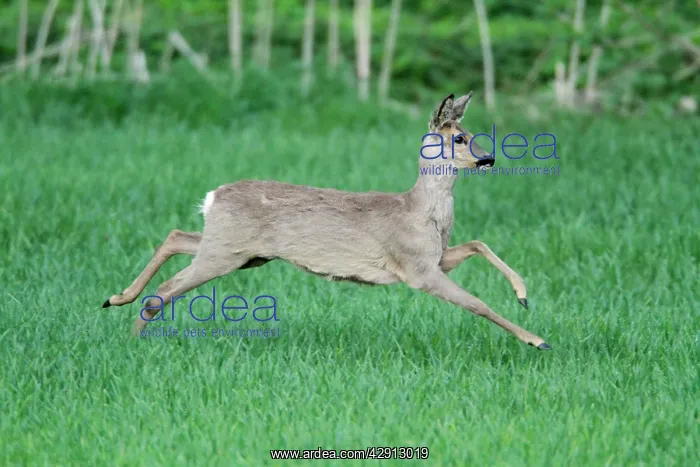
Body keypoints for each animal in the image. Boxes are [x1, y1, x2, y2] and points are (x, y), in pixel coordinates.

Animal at [102, 92, 552, 350]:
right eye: (458, 137)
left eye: (471, 132)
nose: (488, 158)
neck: (419, 211)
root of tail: (214, 196)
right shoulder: (417, 269)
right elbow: (477, 303)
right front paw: (537, 339)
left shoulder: (434, 258)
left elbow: (478, 244)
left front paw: (523, 294)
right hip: (226, 252)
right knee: (168, 287)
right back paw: (132, 339)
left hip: (241, 251)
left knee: (177, 237)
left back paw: (117, 301)